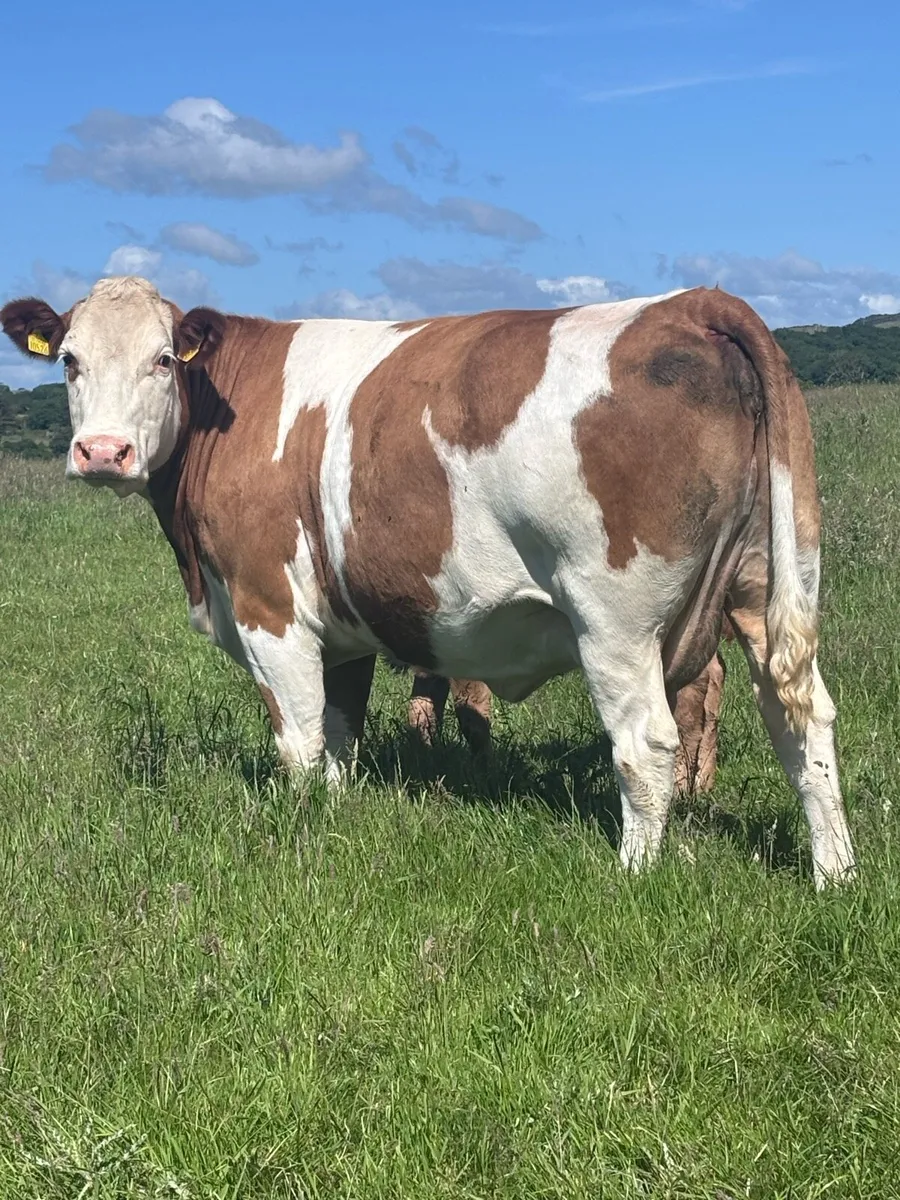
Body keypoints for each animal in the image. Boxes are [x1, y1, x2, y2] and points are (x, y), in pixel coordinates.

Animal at [1, 276, 856, 887]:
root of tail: (691, 303)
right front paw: (337, 813)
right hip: (767, 584)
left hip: (615, 617)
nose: (102, 452)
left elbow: (299, 739)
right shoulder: (341, 626)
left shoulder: (269, 606)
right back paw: (834, 875)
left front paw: (301, 830)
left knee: (647, 740)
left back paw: (634, 874)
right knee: (800, 717)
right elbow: (340, 730)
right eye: (70, 361)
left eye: (159, 360)